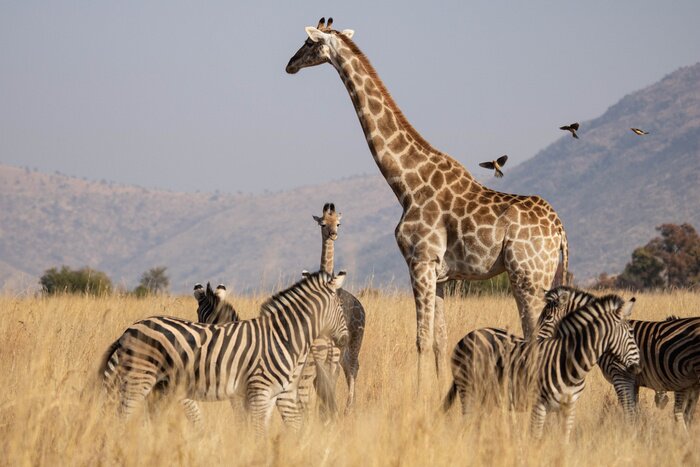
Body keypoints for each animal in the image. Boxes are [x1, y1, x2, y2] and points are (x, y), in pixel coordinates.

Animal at [100, 271, 349, 436]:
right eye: (340, 307)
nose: (346, 339)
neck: (283, 336)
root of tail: (128, 330)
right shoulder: (256, 392)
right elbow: (254, 431)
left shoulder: (267, 395)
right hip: (139, 379)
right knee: (122, 419)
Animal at [312, 202, 365, 414]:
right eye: (322, 223)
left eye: (339, 223)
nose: (333, 234)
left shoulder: (332, 348)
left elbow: (329, 378)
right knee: (347, 367)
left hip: (354, 341)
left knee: (353, 367)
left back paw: (349, 408)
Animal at [443, 292, 640, 441]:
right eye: (631, 332)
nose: (638, 368)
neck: (570, 363)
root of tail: (468, 336)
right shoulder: (538, 405)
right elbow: (535, 439)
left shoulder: (569, 407)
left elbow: (564, 441)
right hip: (469, 390)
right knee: (468, 423)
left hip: (486, 396)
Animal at [540, 289, 700, 429]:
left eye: (547, 318)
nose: (537, 343)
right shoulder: (633, 380)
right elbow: (633, 410)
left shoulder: (620, 375)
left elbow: (629, 411)